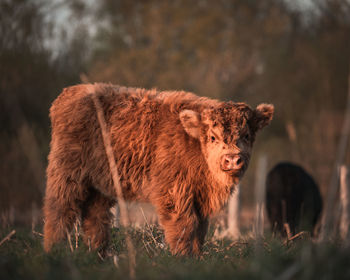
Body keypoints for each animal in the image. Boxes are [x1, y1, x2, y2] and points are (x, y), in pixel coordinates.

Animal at [43, 83, 274, 256]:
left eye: (246, 135)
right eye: (212, 137)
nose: (233, 159)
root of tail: (70, 92)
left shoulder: (199, 198)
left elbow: (199, 230)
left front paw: (196, 257)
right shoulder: (175, 192)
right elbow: (183, 226)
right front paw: (182, 258)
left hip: (101, 184)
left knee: (96, 217)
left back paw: (98, 255)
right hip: (67, 173)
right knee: (59, 210)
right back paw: (54, 252)